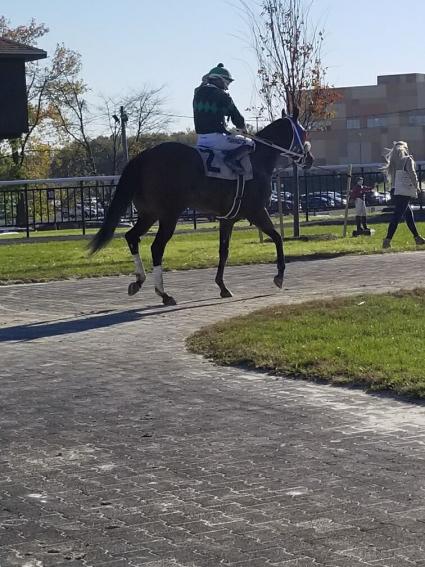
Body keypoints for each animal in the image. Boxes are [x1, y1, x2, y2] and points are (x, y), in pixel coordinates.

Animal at [90, 107, 312, 306]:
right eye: (303, 132)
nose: (309, 160)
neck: (258, 158)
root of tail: (144, 156)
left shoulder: (228, 219)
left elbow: (224, 251)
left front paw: (222, 286)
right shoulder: (256, 212)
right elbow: (277, 237)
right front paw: (279, 276)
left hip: (149, 214)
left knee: (132, 237)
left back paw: (139, 281)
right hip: (169, 215)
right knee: (156, 248)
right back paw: (164, 294)